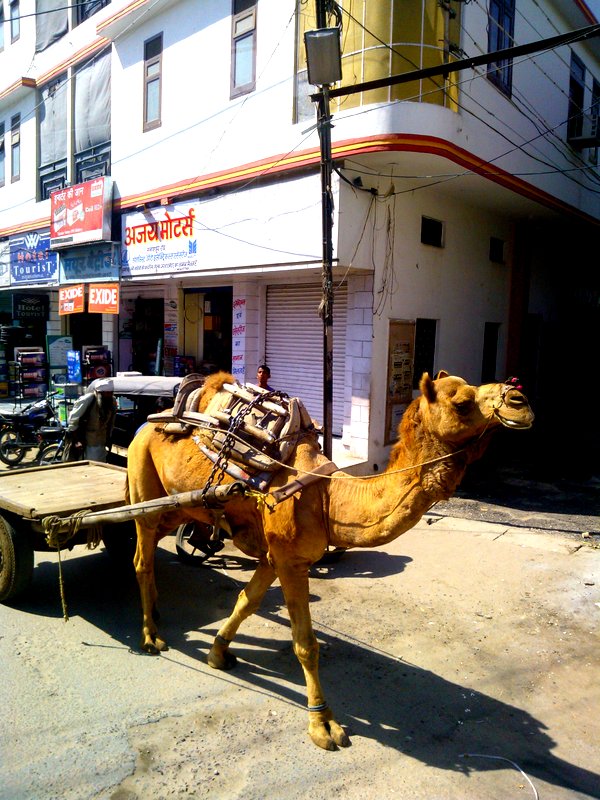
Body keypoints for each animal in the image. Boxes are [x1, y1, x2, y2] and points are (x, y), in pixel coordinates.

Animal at [126, 370, 534, 750]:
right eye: (462, 402)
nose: (520, 399)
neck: (327, 498)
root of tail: (147, 423)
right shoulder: (292, 562)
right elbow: (306, 644)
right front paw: (323, 724)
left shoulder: (276, 556)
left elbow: (247, 601)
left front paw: (217, 654)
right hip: (145, 490)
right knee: (142, 560)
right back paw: (151, 636)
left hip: (178, 508)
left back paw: (159, 615)